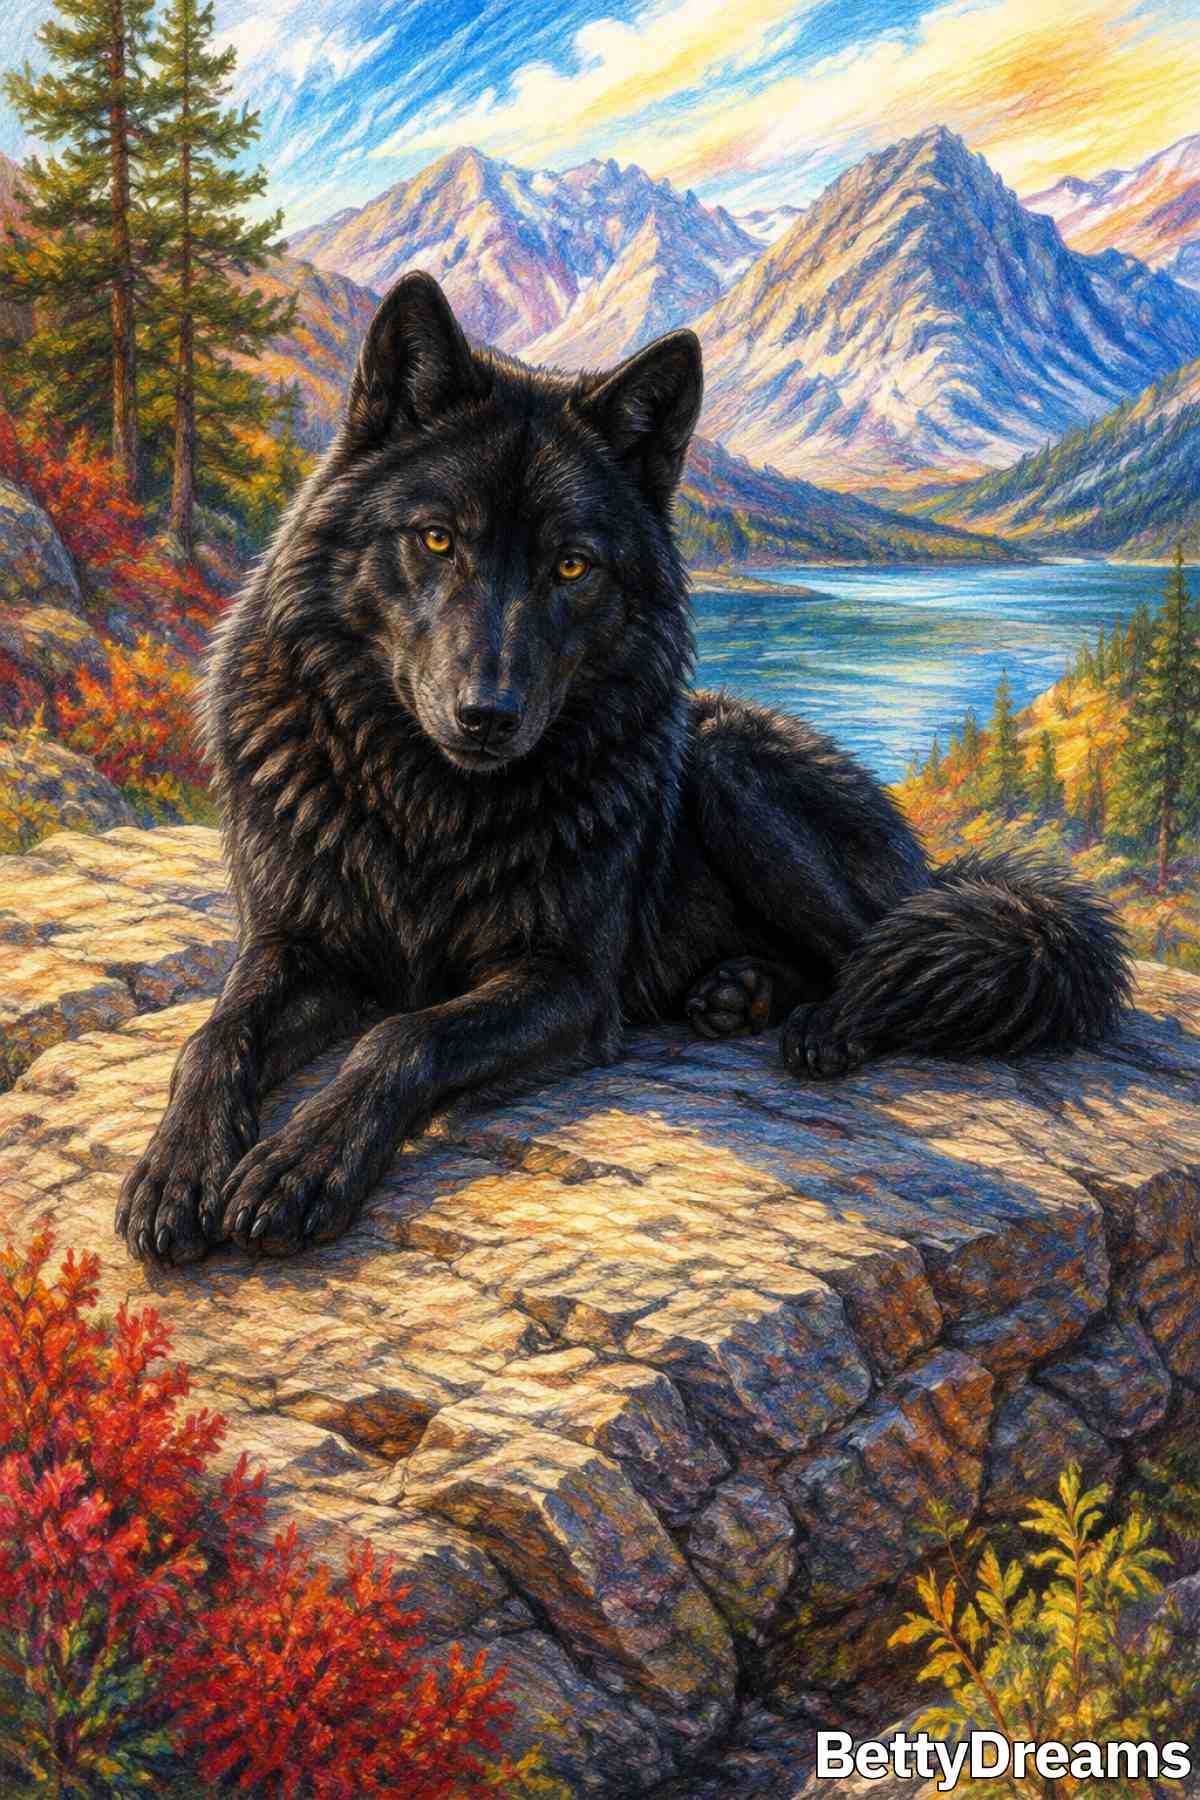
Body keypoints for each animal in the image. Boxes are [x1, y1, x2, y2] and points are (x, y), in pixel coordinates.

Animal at [117, 272, 1132, 1264]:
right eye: (438, 539)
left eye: (572, 567)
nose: (488, 715)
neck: (427, 803)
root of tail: (931, 860)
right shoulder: (295, 942)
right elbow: (215, 1035)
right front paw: (180, 1167)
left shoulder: (568, 981)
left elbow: (403, 1037)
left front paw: (302, 1163)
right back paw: (738, 993)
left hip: (725, 761)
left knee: (880, 947)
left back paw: (824, 1024)